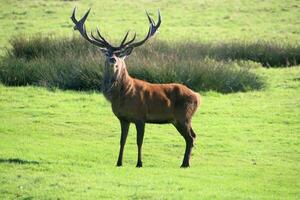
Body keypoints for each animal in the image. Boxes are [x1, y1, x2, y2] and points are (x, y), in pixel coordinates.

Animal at [71, 7, 200, 167]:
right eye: (107, 53)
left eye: (120, 54)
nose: (113, 59)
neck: (123, 95)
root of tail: (198, 97)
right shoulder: (123, 118)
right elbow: (122, 141)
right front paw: (119, 162)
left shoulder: (140, 116)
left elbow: (139, 142)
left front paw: (139, 163)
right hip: (178, 120)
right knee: (192, 136)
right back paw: (185, 162)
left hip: (184, 116)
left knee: (191, 137)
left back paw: (185, 163)